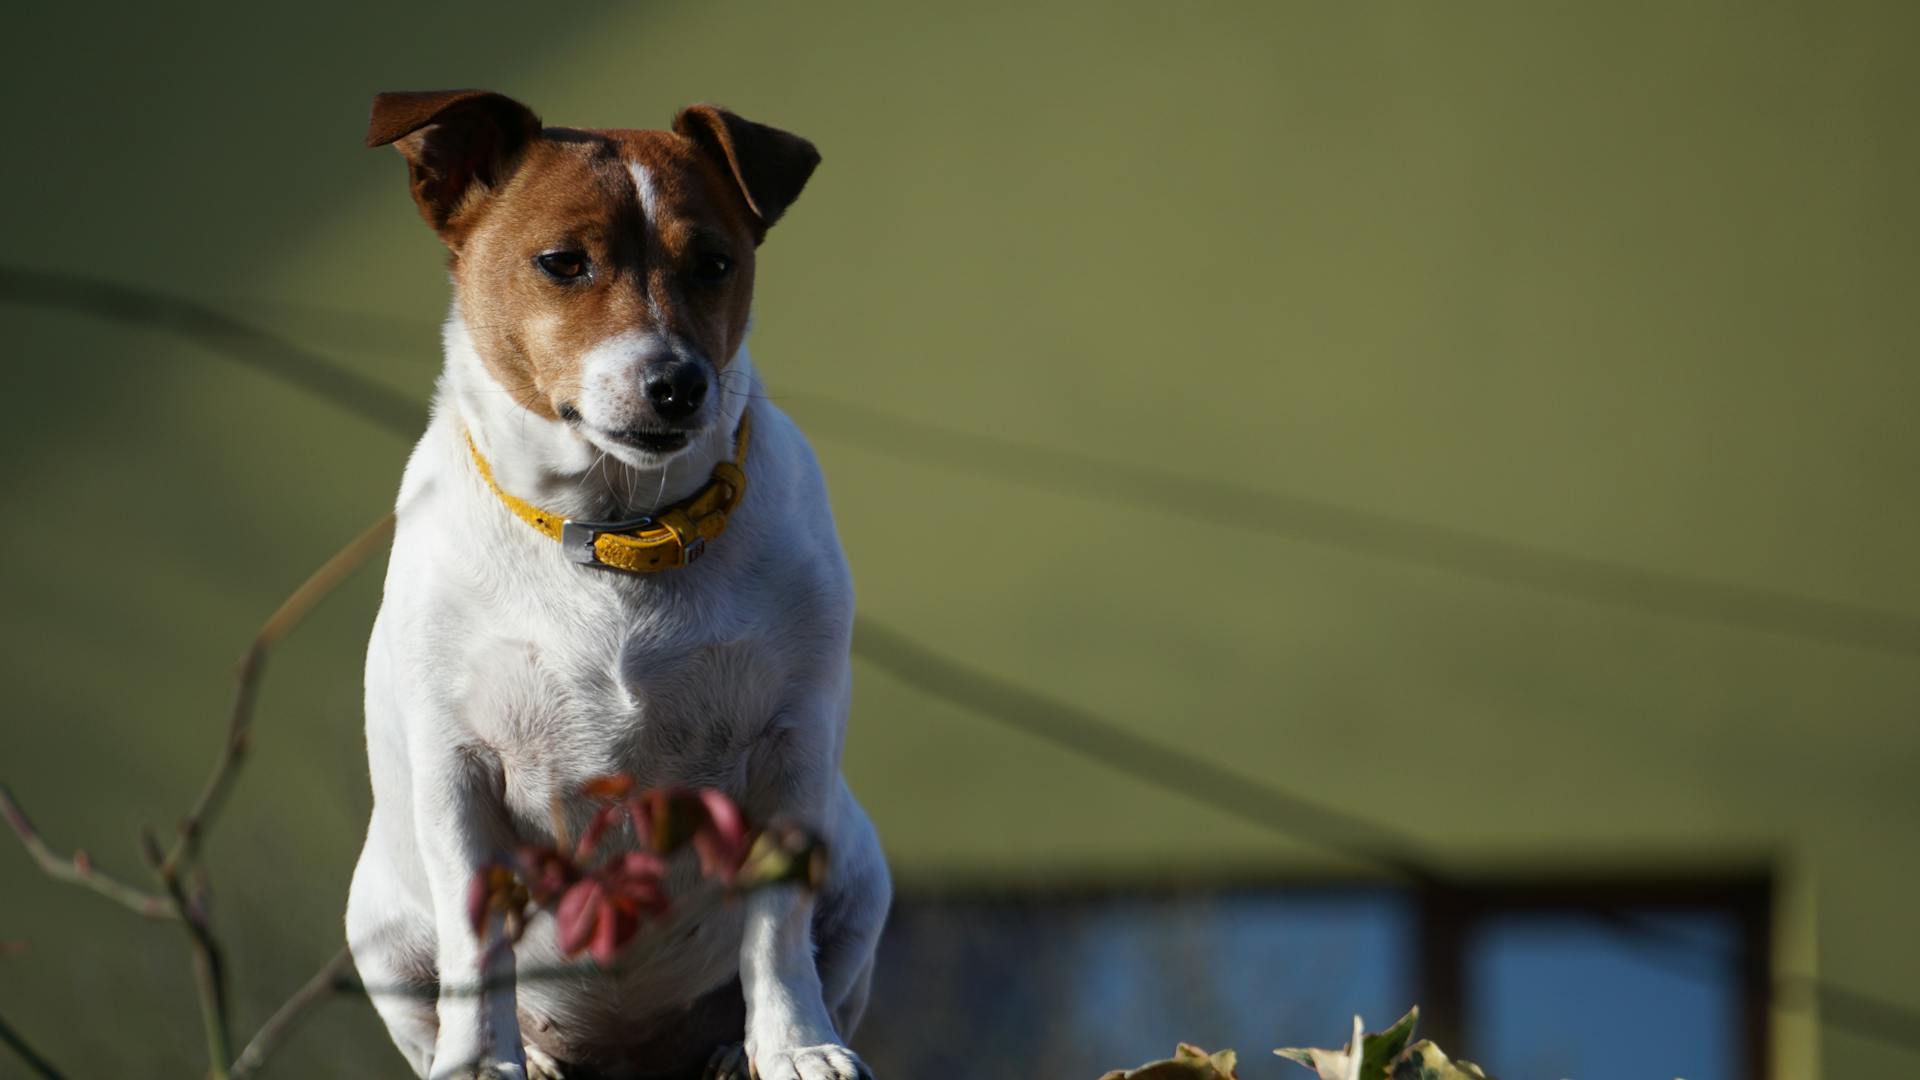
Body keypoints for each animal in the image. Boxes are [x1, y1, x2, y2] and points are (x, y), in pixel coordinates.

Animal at [343, 90, 890, 1076]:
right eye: (564, 263)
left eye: (714, 263)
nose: (678, 383)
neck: (621, 534)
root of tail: (629, 1054)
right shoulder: (458, 769)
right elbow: (476, 941)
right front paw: (478, 1061)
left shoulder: (791, 750)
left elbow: (776, 931)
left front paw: (796, 1046)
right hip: (378, 932)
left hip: (864, 877)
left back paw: (733, 1051)